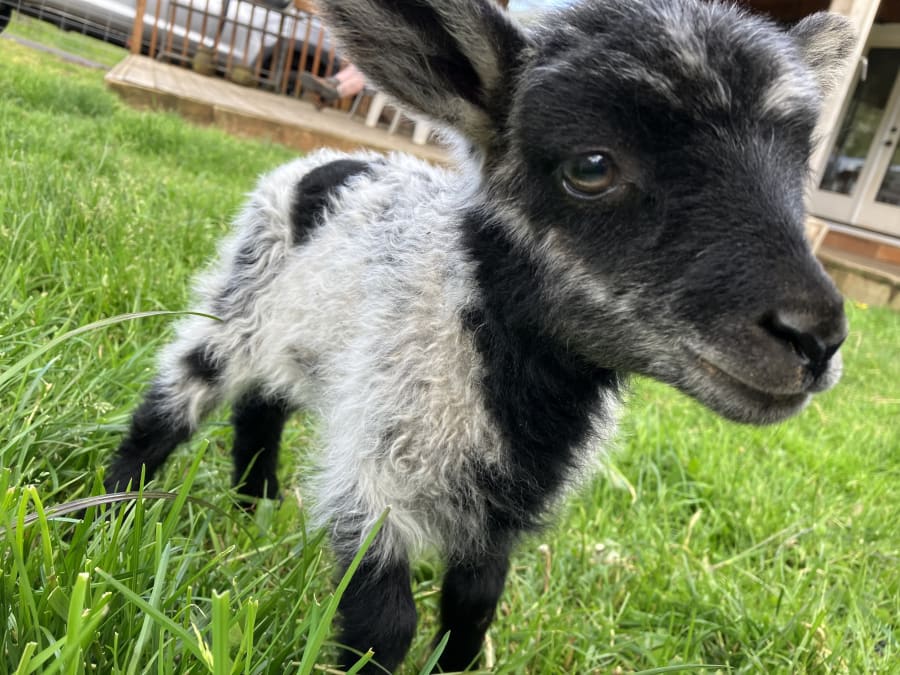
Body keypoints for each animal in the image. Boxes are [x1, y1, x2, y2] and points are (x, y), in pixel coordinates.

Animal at [104, 0, 854, 671]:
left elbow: (474, 604)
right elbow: (385, 623)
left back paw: (254, 506)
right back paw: (113, 507)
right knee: (175, 397)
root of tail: (325, 162)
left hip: (305, 335)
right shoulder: (380, 459)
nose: (816, 339)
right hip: (242, 299)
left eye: (798, 169)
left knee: (262, 407)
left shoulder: (507, 502)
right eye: (591, 166)